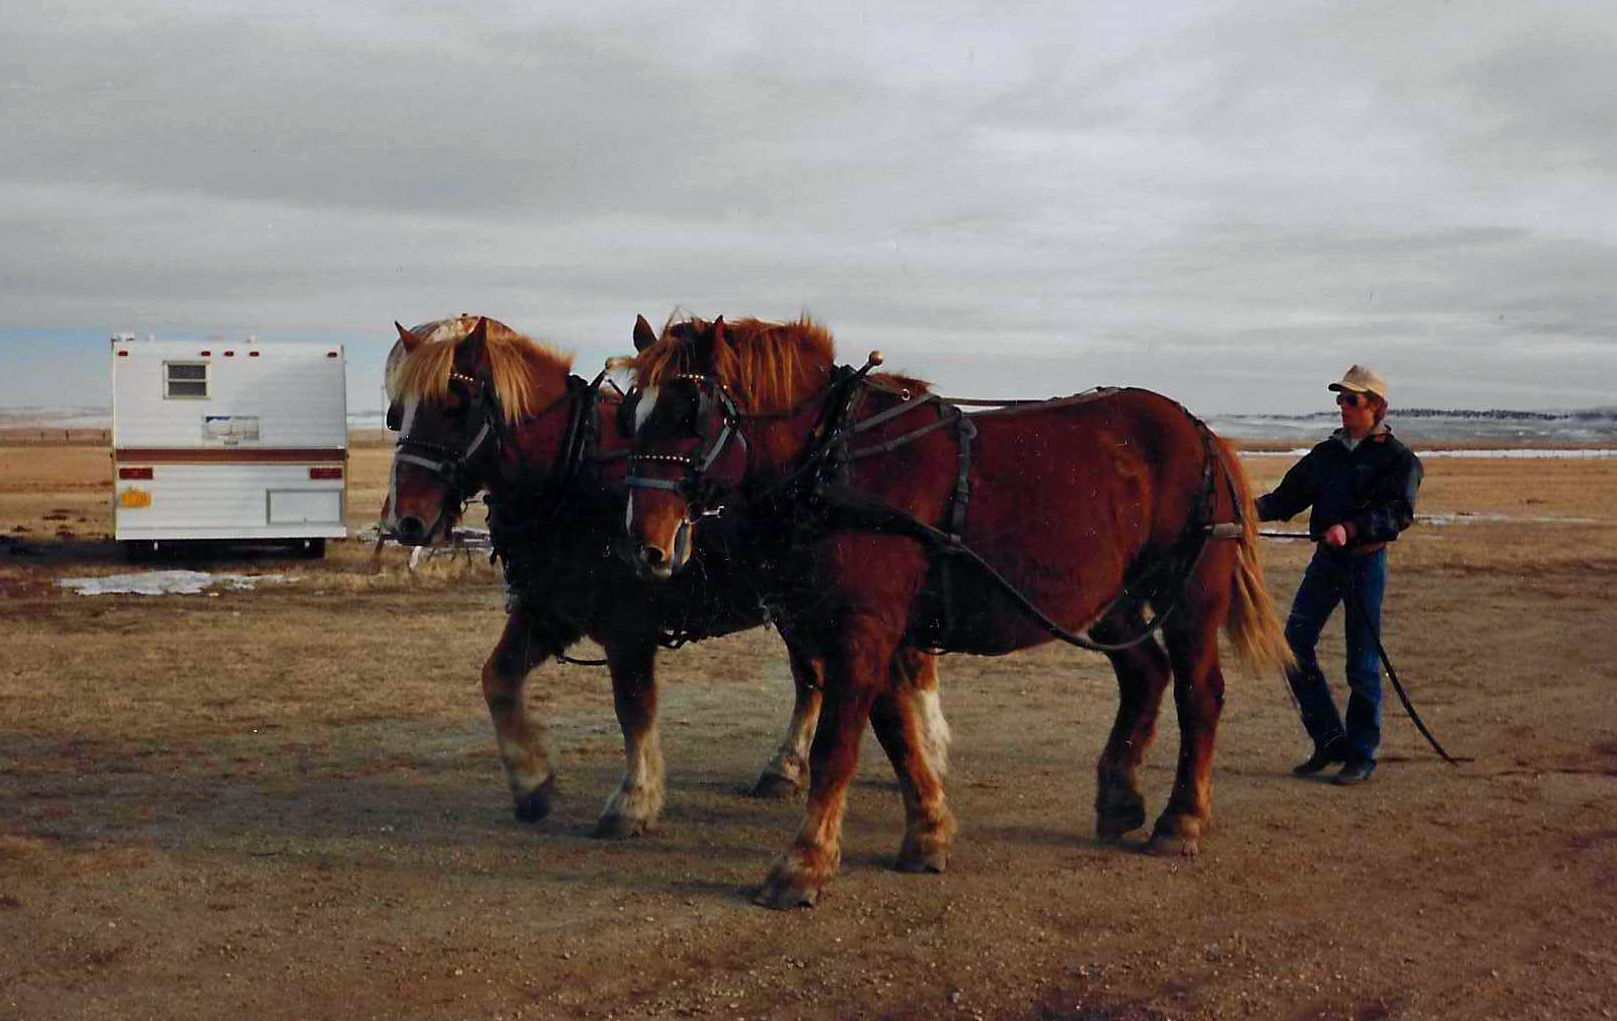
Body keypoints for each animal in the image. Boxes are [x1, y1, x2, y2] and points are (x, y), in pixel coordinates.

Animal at [380, 315, 947, 838]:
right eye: (397, 413)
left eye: (455, 406)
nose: (405, 520)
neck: (575, 473)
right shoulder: (549, 610)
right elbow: (498, 679)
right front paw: (532, 783)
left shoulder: (627, 625)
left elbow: (634, 706)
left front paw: (632, 802)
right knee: (815, 677)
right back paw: (789, 768)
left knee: (871, 667)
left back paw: (926, 747)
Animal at [619, 314, 1292, 908]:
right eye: (630, 416)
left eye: (688, 414)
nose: (644, 544)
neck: (838, 456)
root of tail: (1199, 430)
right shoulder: (875, 630)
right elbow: (897, 732)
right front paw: (927, 833)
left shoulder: (861, 629)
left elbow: (839, 744)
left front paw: (803, 864)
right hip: (1113, 599)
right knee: (1145, 675)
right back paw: (1120, 797)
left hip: (1192, 596)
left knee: (1198, 694)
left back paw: (1180, 820)